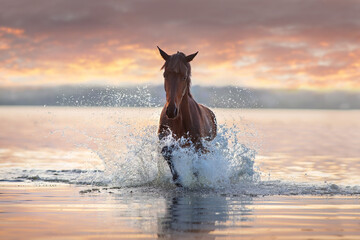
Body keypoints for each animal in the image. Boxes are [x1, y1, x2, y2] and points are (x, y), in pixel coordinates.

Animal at [157, 46, 217, 186]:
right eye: (165, 75)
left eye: (184, 77)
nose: (171, 110)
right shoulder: (168, 139)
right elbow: (166, 151)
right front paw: (177, 178)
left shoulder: (198, 145)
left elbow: (197, 162)